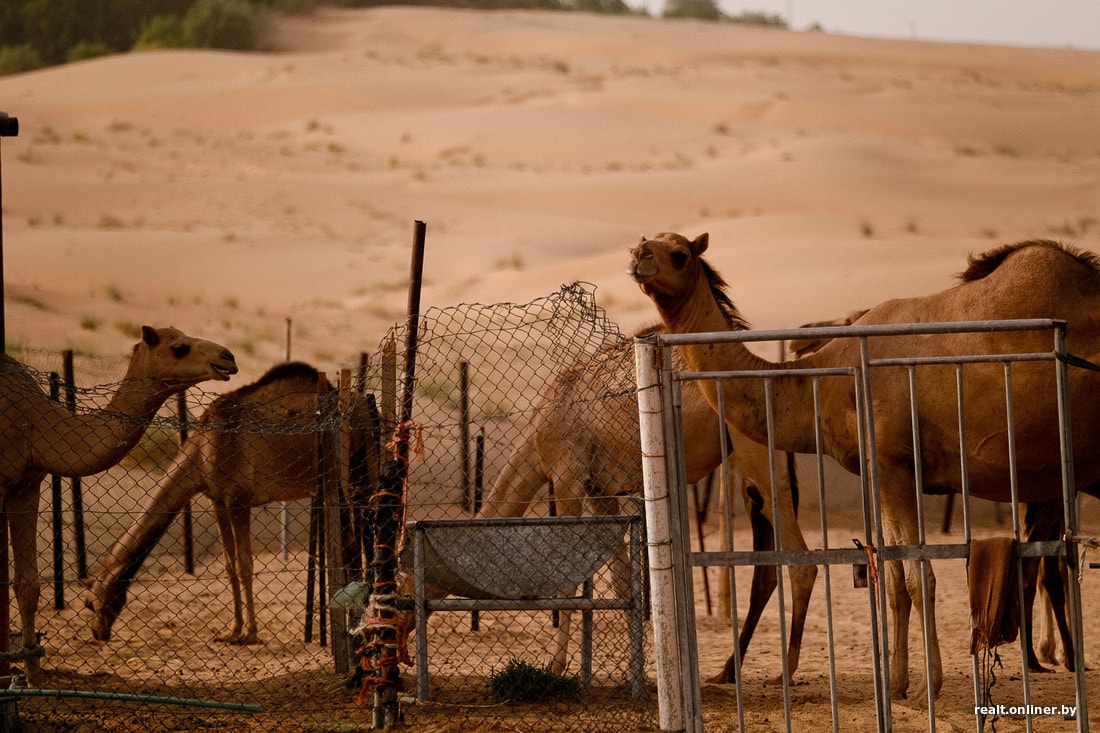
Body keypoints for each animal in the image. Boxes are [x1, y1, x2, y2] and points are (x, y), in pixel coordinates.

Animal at [84, 363, 374, 642]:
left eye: (90, 603)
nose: (98, 633)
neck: (201, 453)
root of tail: (365, 408)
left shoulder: (239, 498)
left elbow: (245, 564)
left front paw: (250, 633)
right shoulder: (218, 501)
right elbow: (230, 566)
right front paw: (232, 631)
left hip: (348, 473)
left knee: (356, 539)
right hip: (355, 473)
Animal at [629, 232, 1100, 695]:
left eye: (679, 253)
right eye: (645, 242)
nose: (638, 256)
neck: (824, 380)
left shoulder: (893, 465)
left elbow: (917, 576)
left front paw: (928, 685)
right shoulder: (881, 473)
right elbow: (892, 578)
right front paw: (894, 685)